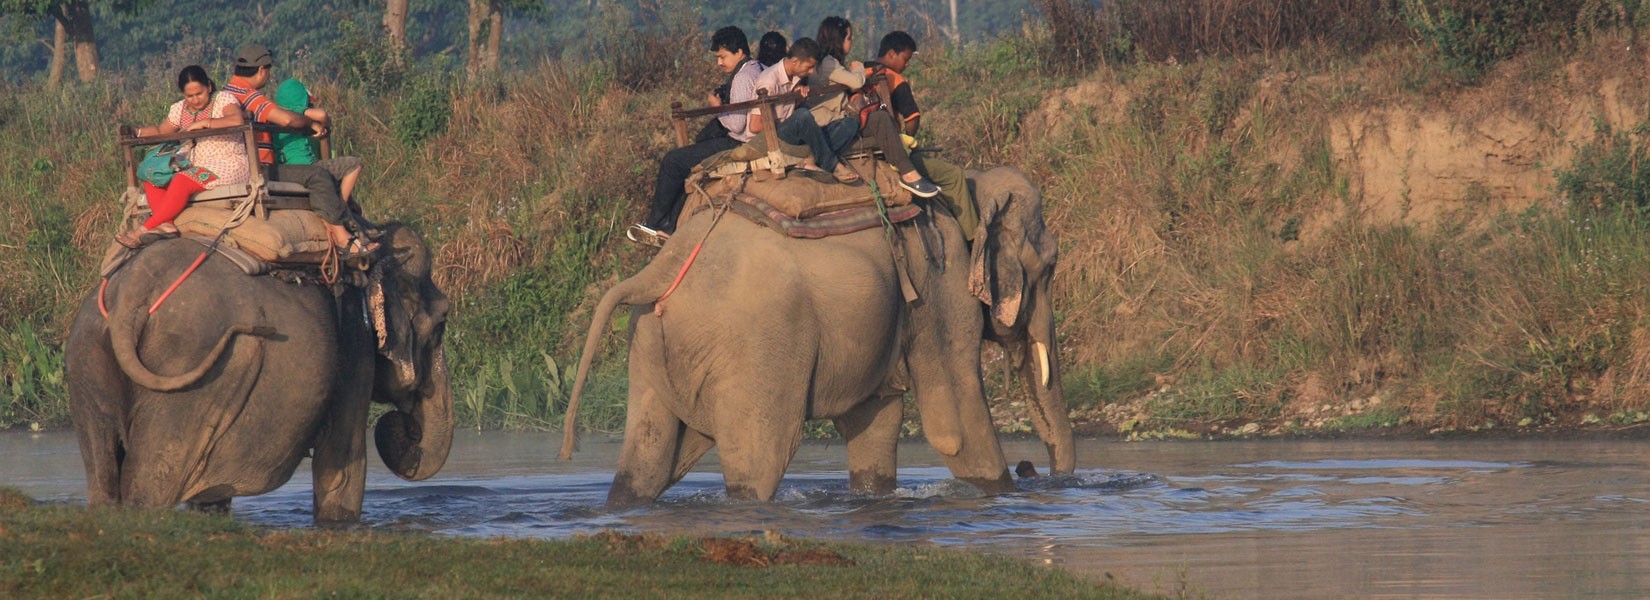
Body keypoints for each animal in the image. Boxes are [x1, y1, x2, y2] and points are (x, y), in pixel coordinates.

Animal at [67, 222, 452, 524]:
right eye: (442, 322)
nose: (406, 426)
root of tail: (132, 295)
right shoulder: (354, 346)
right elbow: (342, 466)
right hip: (187, 374)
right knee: (150, 484)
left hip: (87, 360)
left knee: (103, 475)